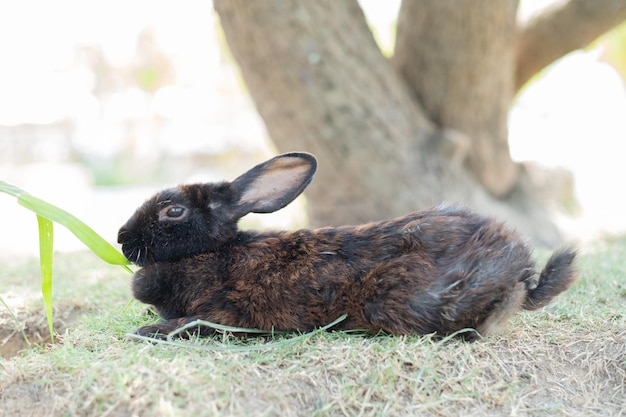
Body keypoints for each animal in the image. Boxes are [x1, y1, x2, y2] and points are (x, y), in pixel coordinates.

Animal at [117, 151, 576, 340]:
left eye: (173, 211)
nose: (121, 240)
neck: (213, 253)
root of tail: (521, 270)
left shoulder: (229, 311)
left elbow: (196, 323)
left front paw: (149, 331)